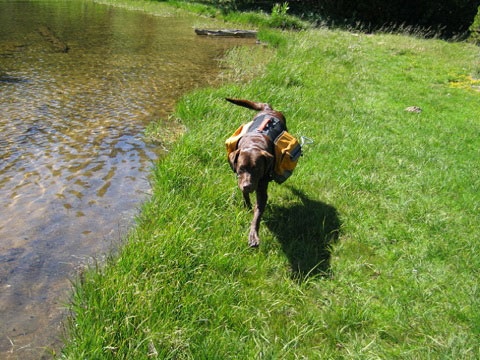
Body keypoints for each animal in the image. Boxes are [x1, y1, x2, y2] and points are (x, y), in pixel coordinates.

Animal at [226, 98, 286, 248]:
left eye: (257, 169)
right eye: (241, 168)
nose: (247, 186)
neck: (254, 144)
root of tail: (268, 109)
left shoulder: (261, 189)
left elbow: (257, 214)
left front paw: (253, 235)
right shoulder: (240, 180)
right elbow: (245, 196)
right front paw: (247, 207)